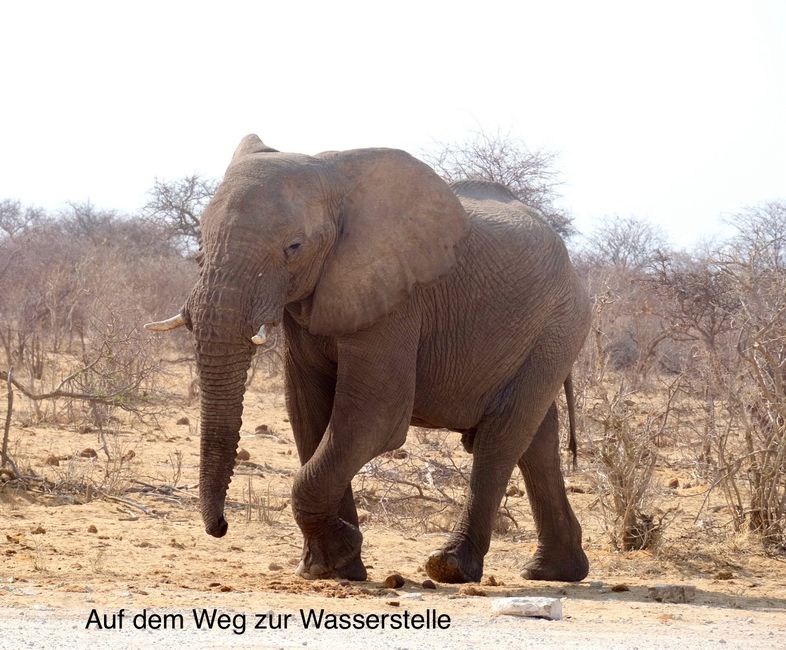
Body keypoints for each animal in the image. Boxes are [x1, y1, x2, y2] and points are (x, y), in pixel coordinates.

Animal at [145, 135, 588, 584]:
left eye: (294, 248)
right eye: (200, 246)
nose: (220, 527)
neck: (334, 179)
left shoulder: (396, 298)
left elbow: (373, 418)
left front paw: (339, 554)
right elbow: (309, 414)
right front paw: (334, 566)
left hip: (558, 326)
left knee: (502, 436)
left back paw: (450, 567)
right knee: (536, 440)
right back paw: (555, 571)